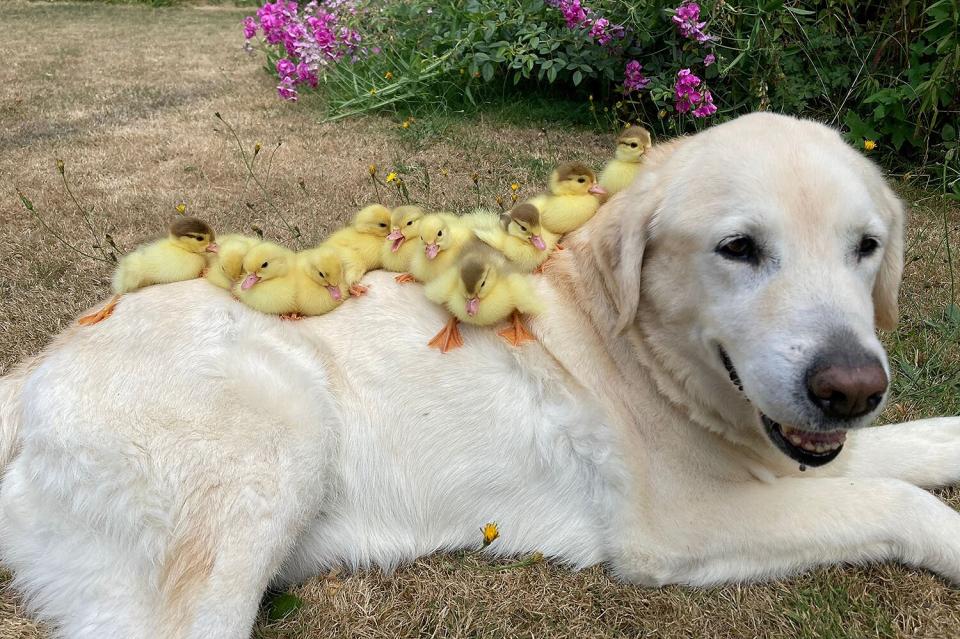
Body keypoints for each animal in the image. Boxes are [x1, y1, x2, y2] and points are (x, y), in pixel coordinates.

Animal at [1, 112, 960, 636]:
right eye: (739, 248)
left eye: (866, 246)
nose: (851, 387)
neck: (637, 347)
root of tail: (36, 366)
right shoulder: (683, 525)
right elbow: (897, 499)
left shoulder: (793, 457)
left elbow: (905, 448)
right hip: (274, 445)